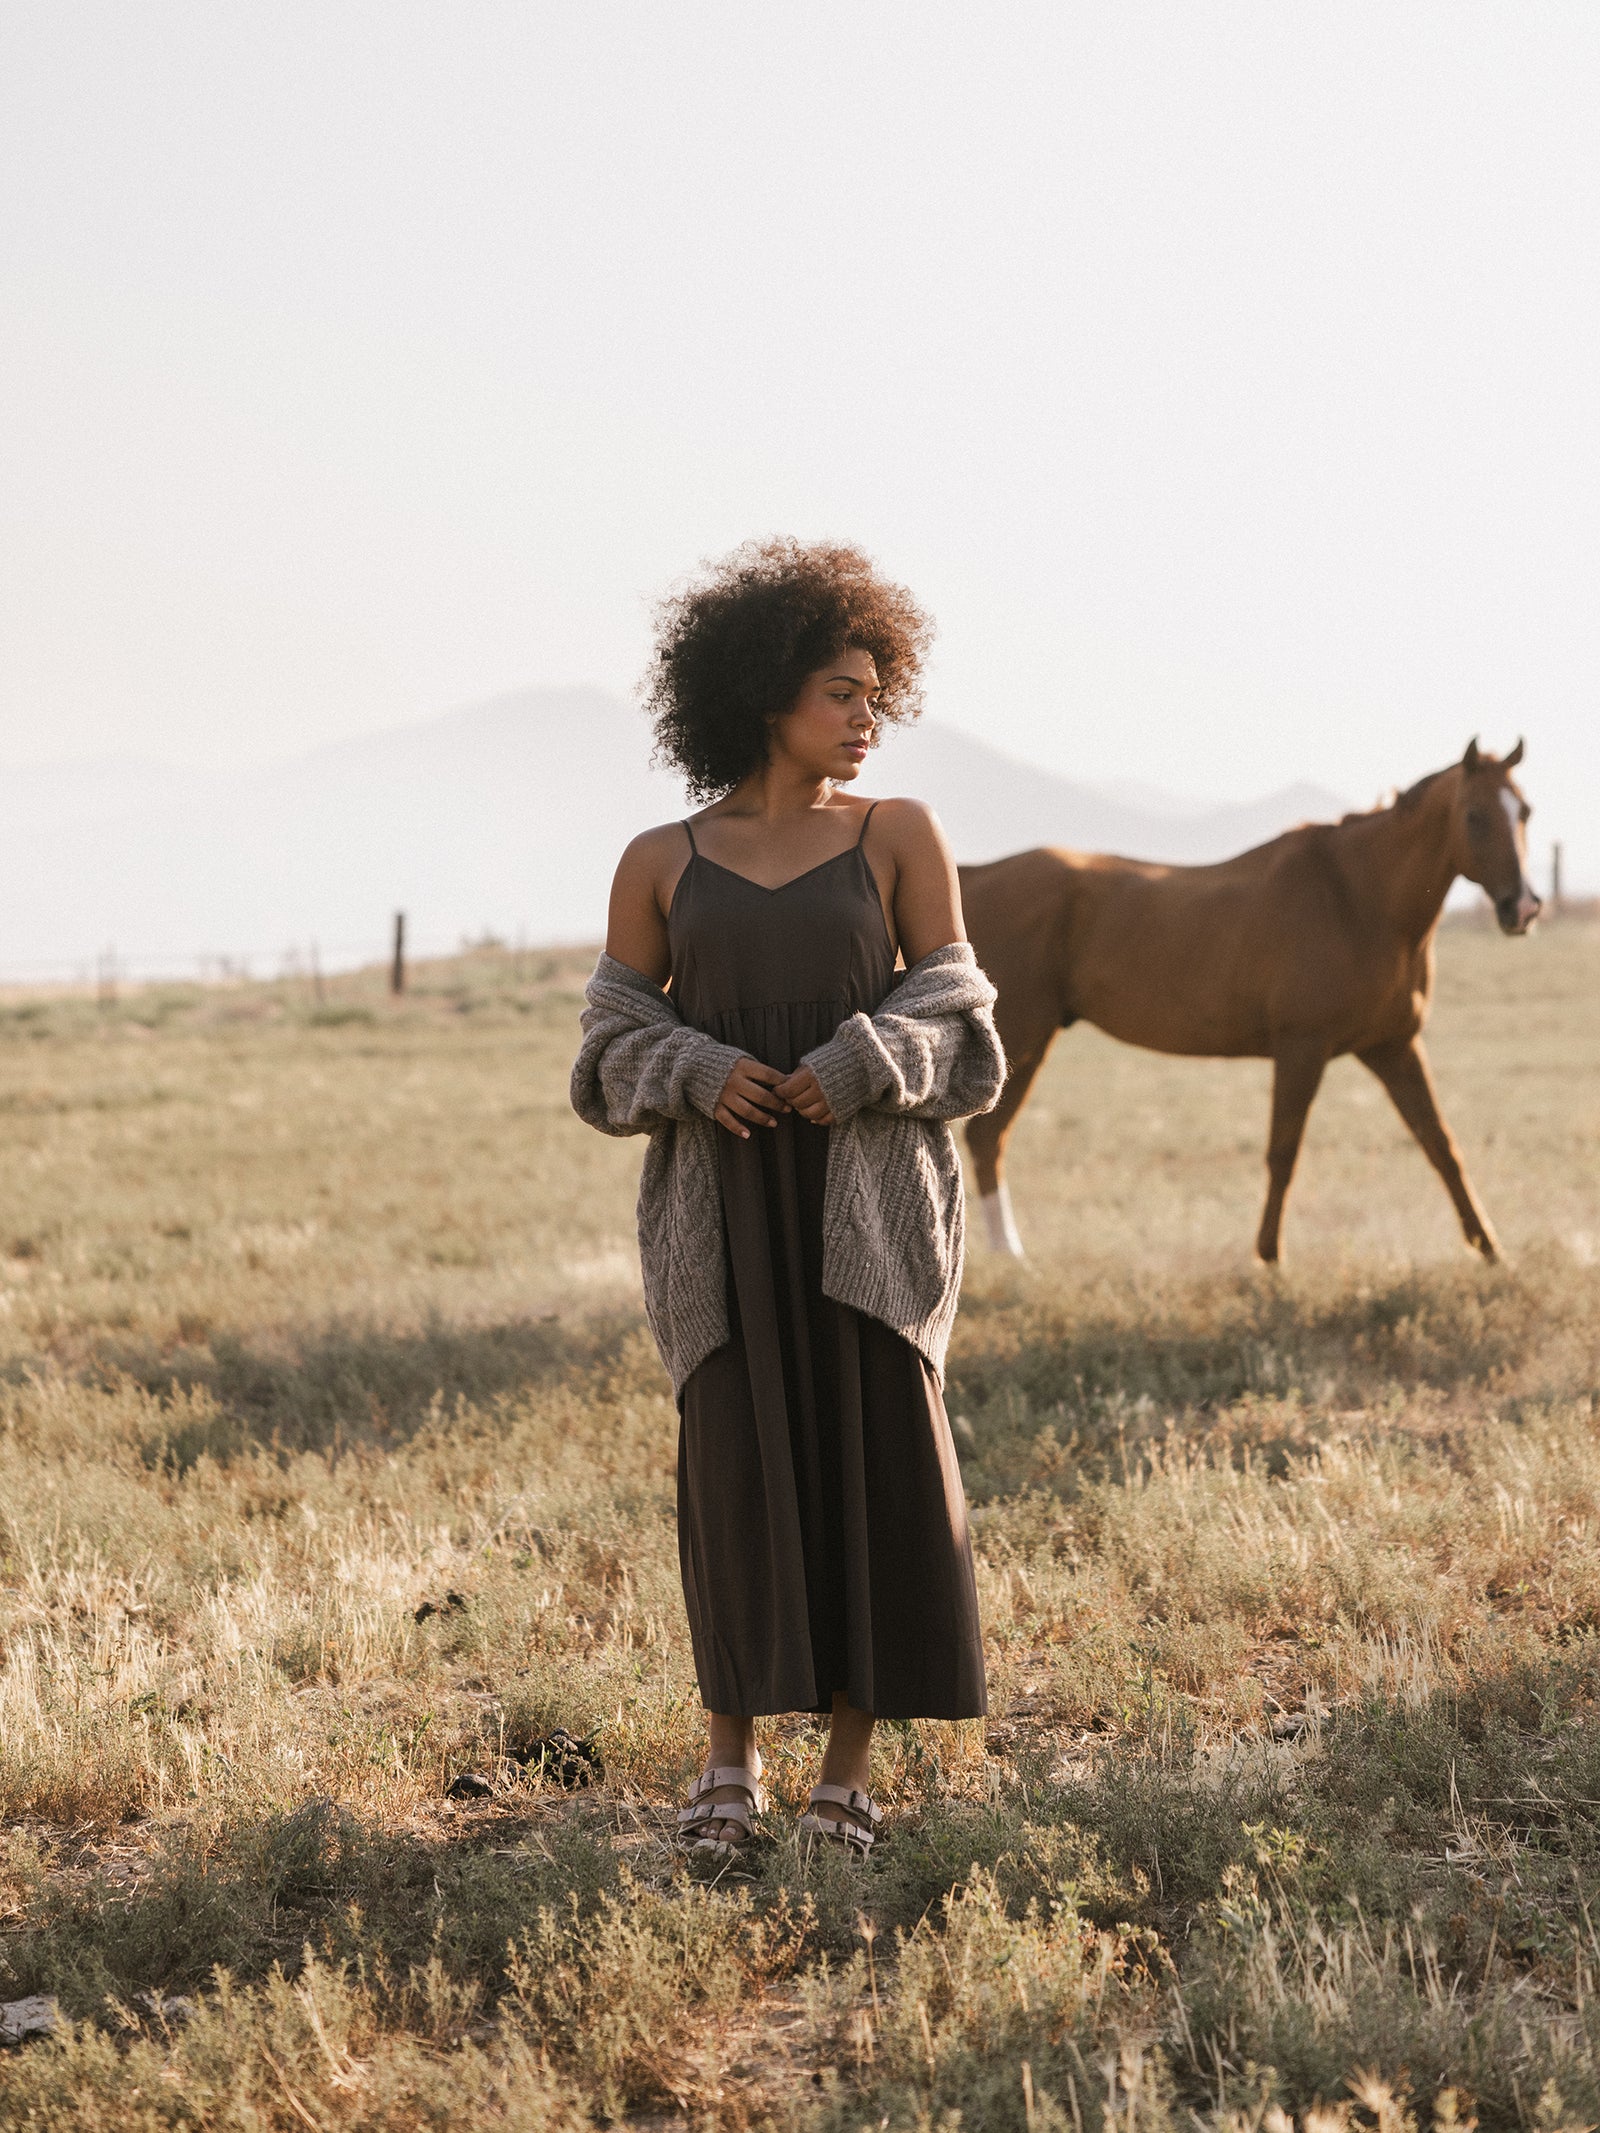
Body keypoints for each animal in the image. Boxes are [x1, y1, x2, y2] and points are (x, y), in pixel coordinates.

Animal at [960, 742, 1544, 1254]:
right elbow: (1283, 1153)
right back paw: (1010, 1256)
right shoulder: (1302, 1049)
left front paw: (1491, 1251)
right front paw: (1269, 1257)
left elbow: (1442, 1146)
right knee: (987, 1137)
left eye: (1526, 812)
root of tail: (977, 874)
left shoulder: (1394, 1048)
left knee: (989, 1140)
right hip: (1024, 1038)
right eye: (1474, 815)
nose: (1523, 908)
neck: (1356, 899)